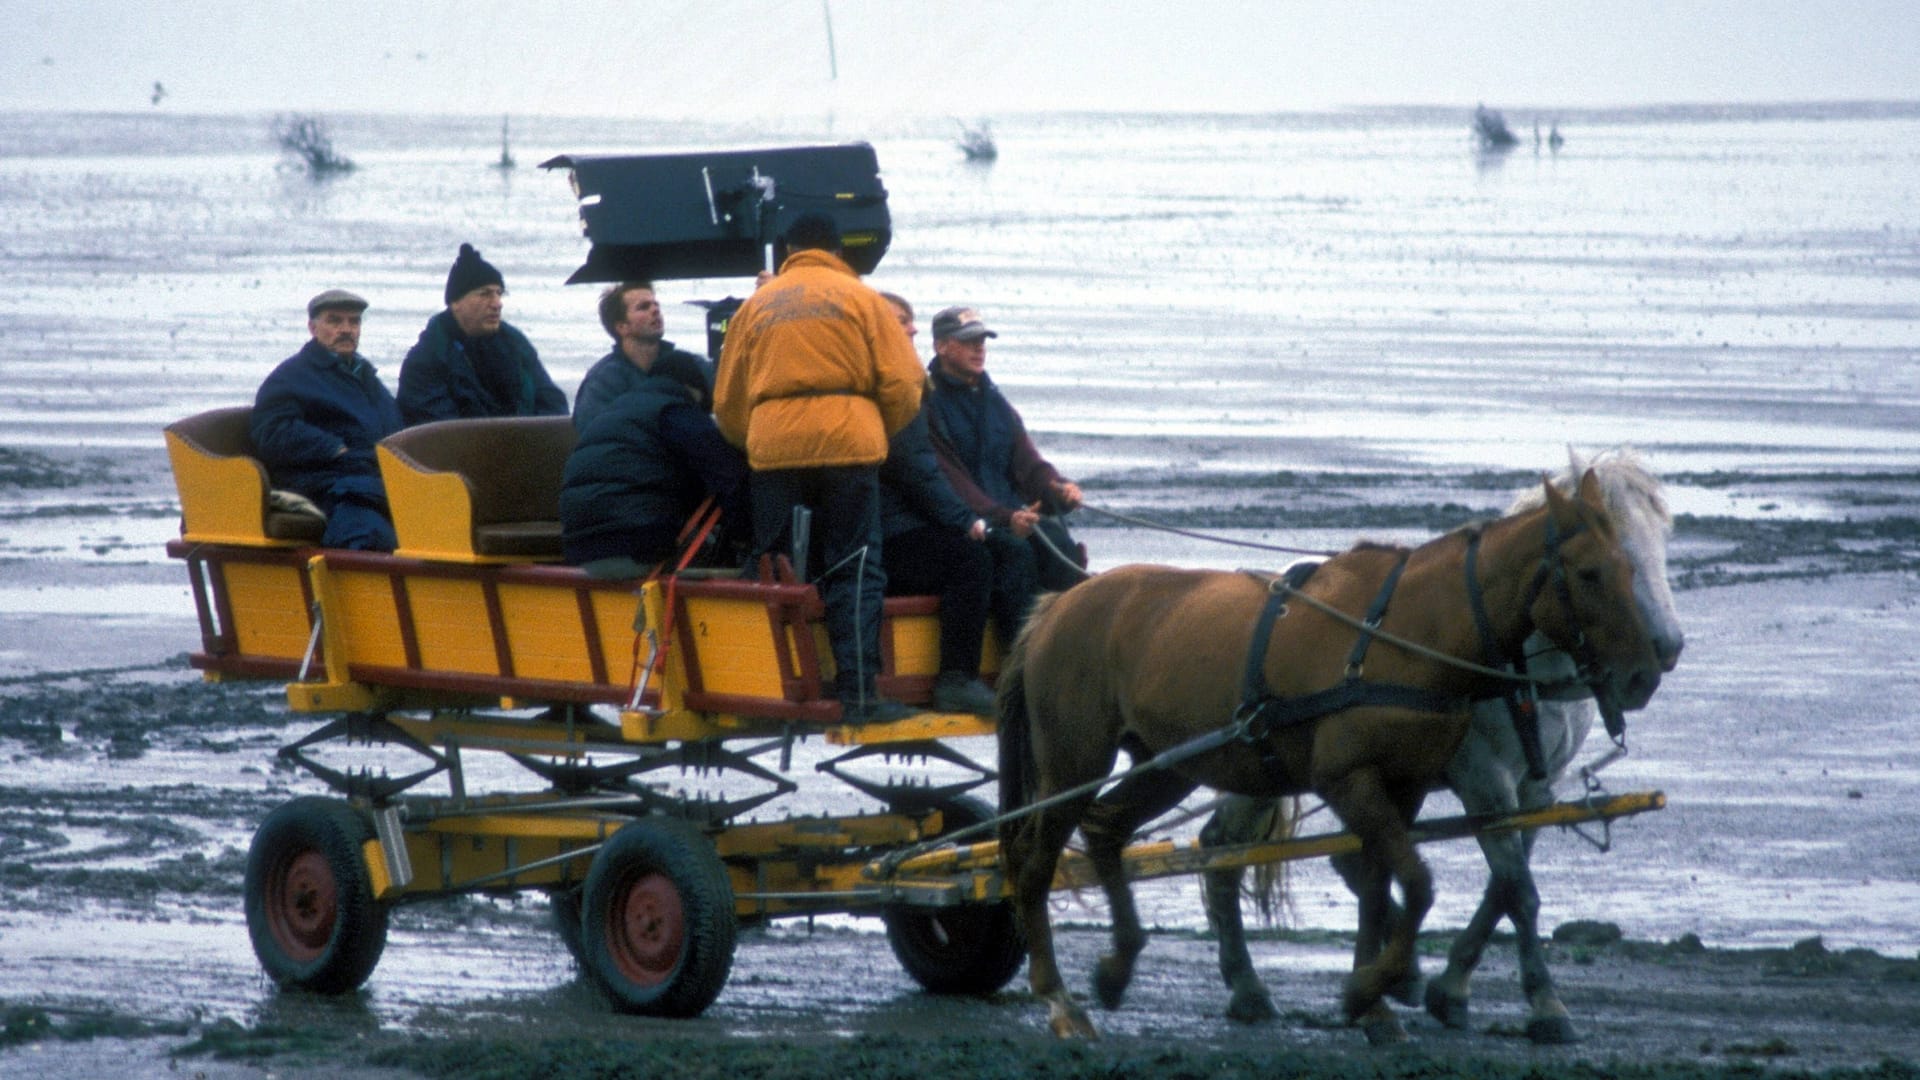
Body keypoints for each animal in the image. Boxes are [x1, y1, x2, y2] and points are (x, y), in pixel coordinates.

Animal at [998, 466, 1658, 1037]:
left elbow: (1379, 884)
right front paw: (1376, 988)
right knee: (1035, 864)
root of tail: (1058, 605)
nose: (1646, 673)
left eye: (1630, 566)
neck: (1409, 631)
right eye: (1589, 573)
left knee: (1107, 829)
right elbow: (1416, 884)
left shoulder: (1404, 787)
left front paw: (1375, 998)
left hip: (1170, 763)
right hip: (1073, 763)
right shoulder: (1353, 779)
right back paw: (1059, 997)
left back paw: (1121, 964)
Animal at [1205, 441, 1689, 1037]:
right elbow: (1518, 889)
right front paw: (1544, 1003)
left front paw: (1450, 986)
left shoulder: (1535, 789)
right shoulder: (1483, 780)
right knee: (1222, 851)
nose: (1664, 650)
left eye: (1661, 539)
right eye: (1606, 557)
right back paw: (1250, 984)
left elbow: (1504, 887)